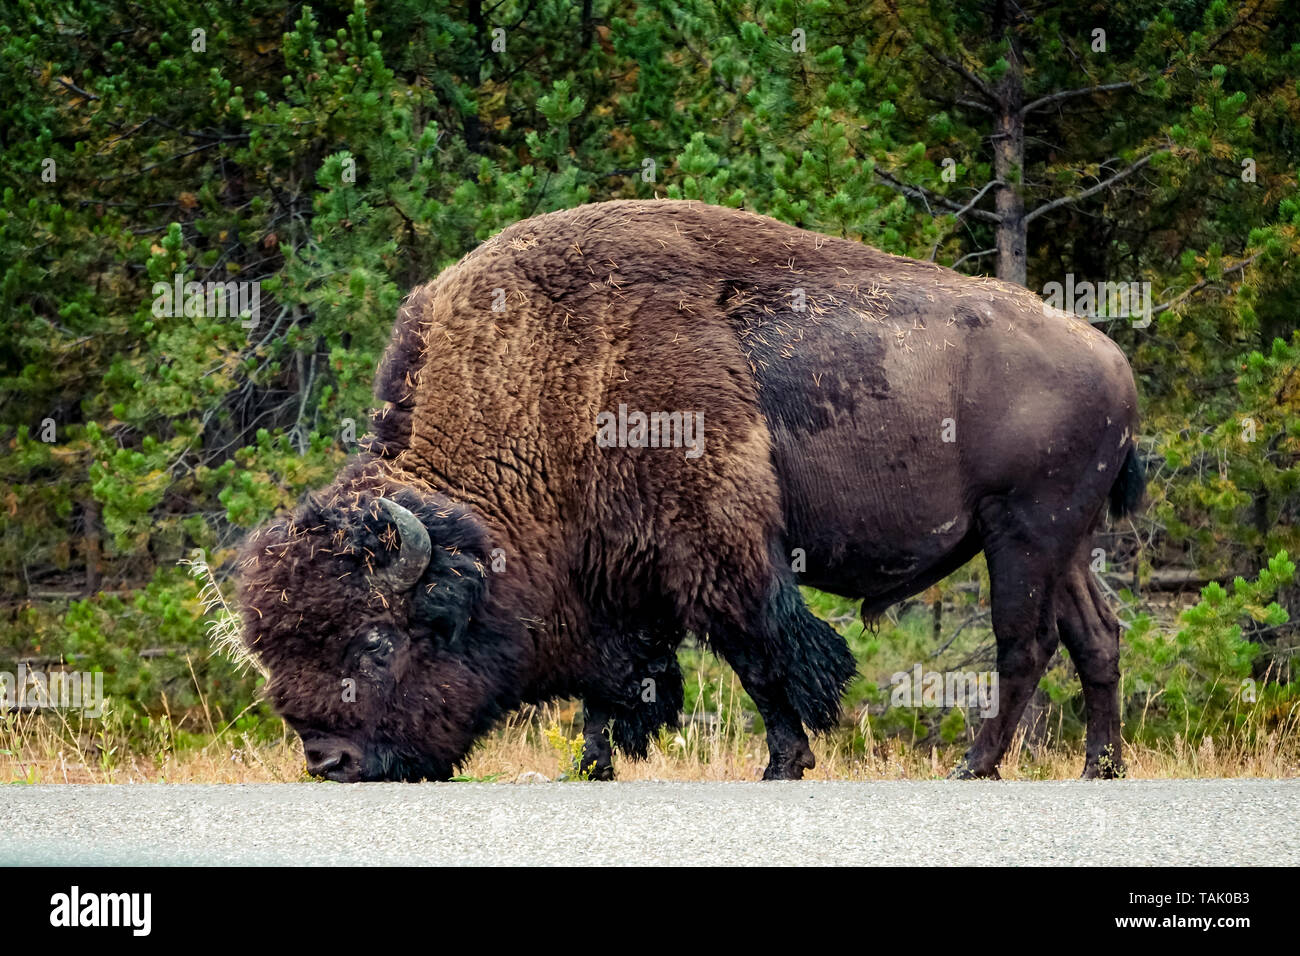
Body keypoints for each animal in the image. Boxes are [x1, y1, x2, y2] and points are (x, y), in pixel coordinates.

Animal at [236, 199, 1143, 782]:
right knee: (1096, 637)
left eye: (375, 643)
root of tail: (1109, 357)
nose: (329, 761)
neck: (547, 383)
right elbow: (618, 682)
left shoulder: (715, 549)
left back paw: (975, 766)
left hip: (1021, 533)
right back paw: (1099, 768)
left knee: (1024, 644)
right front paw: (592, 764)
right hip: (1065, 542)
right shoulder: (615, 575)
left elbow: (762, 653)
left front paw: (784, 763)